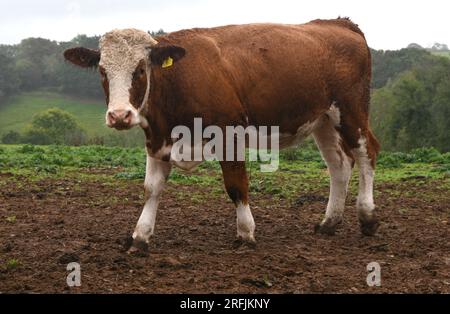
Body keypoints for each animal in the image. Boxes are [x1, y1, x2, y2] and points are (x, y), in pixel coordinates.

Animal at [63, 17, 380, 254]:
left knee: (366, 153)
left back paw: (367, 216)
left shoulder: (229, 135)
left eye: (140, 69)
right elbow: (151, 189)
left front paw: (246, 234)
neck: (178, 81)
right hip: (323, 120)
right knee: (339, 165)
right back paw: (329, 222)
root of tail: (338, 23)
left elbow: (236, 185)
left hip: (351, 111)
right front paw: (140, 237)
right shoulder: (157, 140)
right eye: (102, 71)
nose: (119, 115)